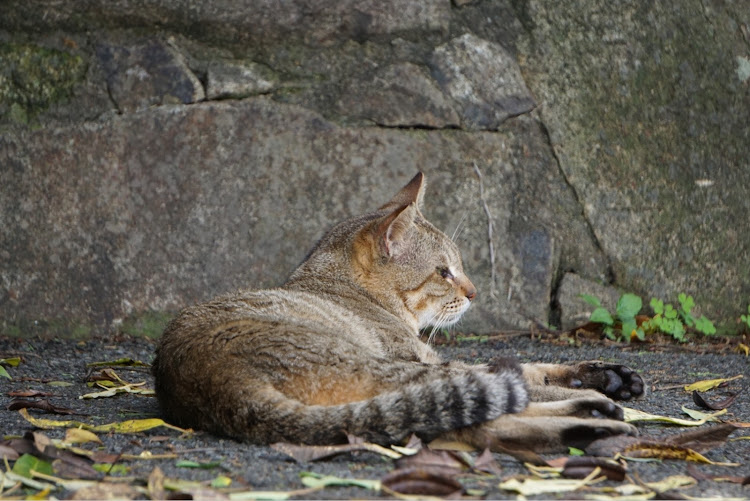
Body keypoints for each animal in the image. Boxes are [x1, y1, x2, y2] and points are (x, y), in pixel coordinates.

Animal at [154, 172, 648, 454]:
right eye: (444, 272)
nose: (475, 292)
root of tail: (213, 383)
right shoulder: (421, 357)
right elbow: (521, 375)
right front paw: (597, 387)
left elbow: (532, 366)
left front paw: (606, 373)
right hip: (382, 367)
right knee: (484, 410)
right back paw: (593, 415)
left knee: (470, 423)